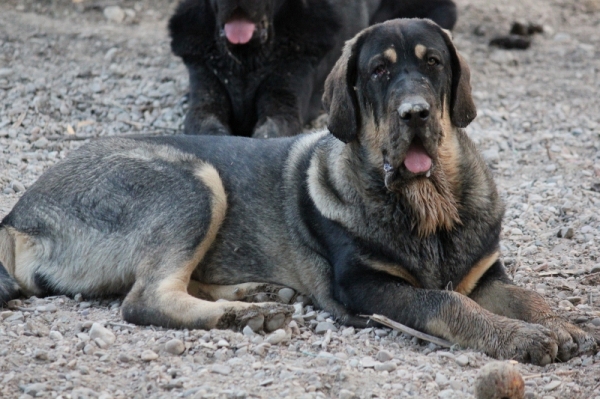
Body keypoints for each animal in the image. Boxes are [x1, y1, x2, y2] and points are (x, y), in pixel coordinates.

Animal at [0, 20, 596, 368]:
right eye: (378, 72)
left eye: (434, 63)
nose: (416, 114)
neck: (429, 204)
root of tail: (17, 216)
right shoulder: (368, 289)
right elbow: (447, 302)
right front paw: (520, 339)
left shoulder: (487, 273)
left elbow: (528, 297)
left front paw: (562, 323)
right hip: (193, 181)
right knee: (144, 298)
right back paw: (246, 316)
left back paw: (258, 294)